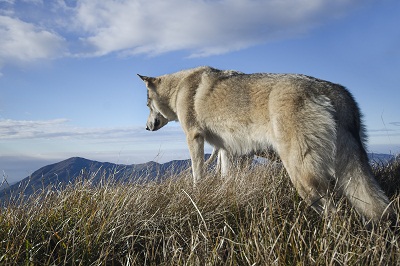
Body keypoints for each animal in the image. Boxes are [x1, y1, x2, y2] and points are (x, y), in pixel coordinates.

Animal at [138, 66, 394, 222]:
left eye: (147, 105)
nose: (147, 128)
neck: (179, 88)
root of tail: (332, 90)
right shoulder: (227, 150)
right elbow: (226, 176)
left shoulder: (194, 138)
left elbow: (196, 173)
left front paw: (196, 192)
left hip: (302, 176)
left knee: (334, 213)